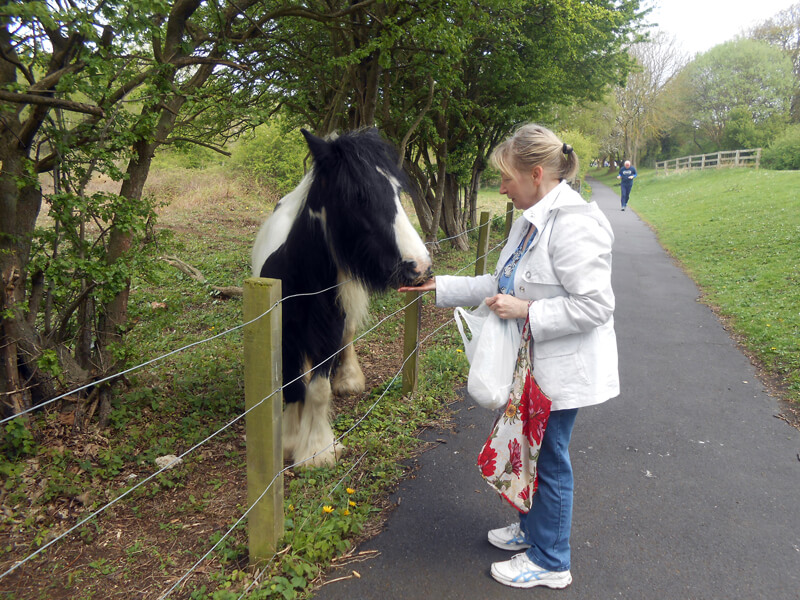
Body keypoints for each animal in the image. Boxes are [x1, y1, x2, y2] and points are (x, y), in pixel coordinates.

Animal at [250, 129, 432, 468]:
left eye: (397, 190)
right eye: (358, 196)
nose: (420, 266)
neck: (302, 280)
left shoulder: (329, 328)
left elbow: (319, 389)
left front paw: (317, 450)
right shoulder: (284, 335)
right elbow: (293, 387)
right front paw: (290, 442)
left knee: (347, 338)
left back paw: (348, 379)